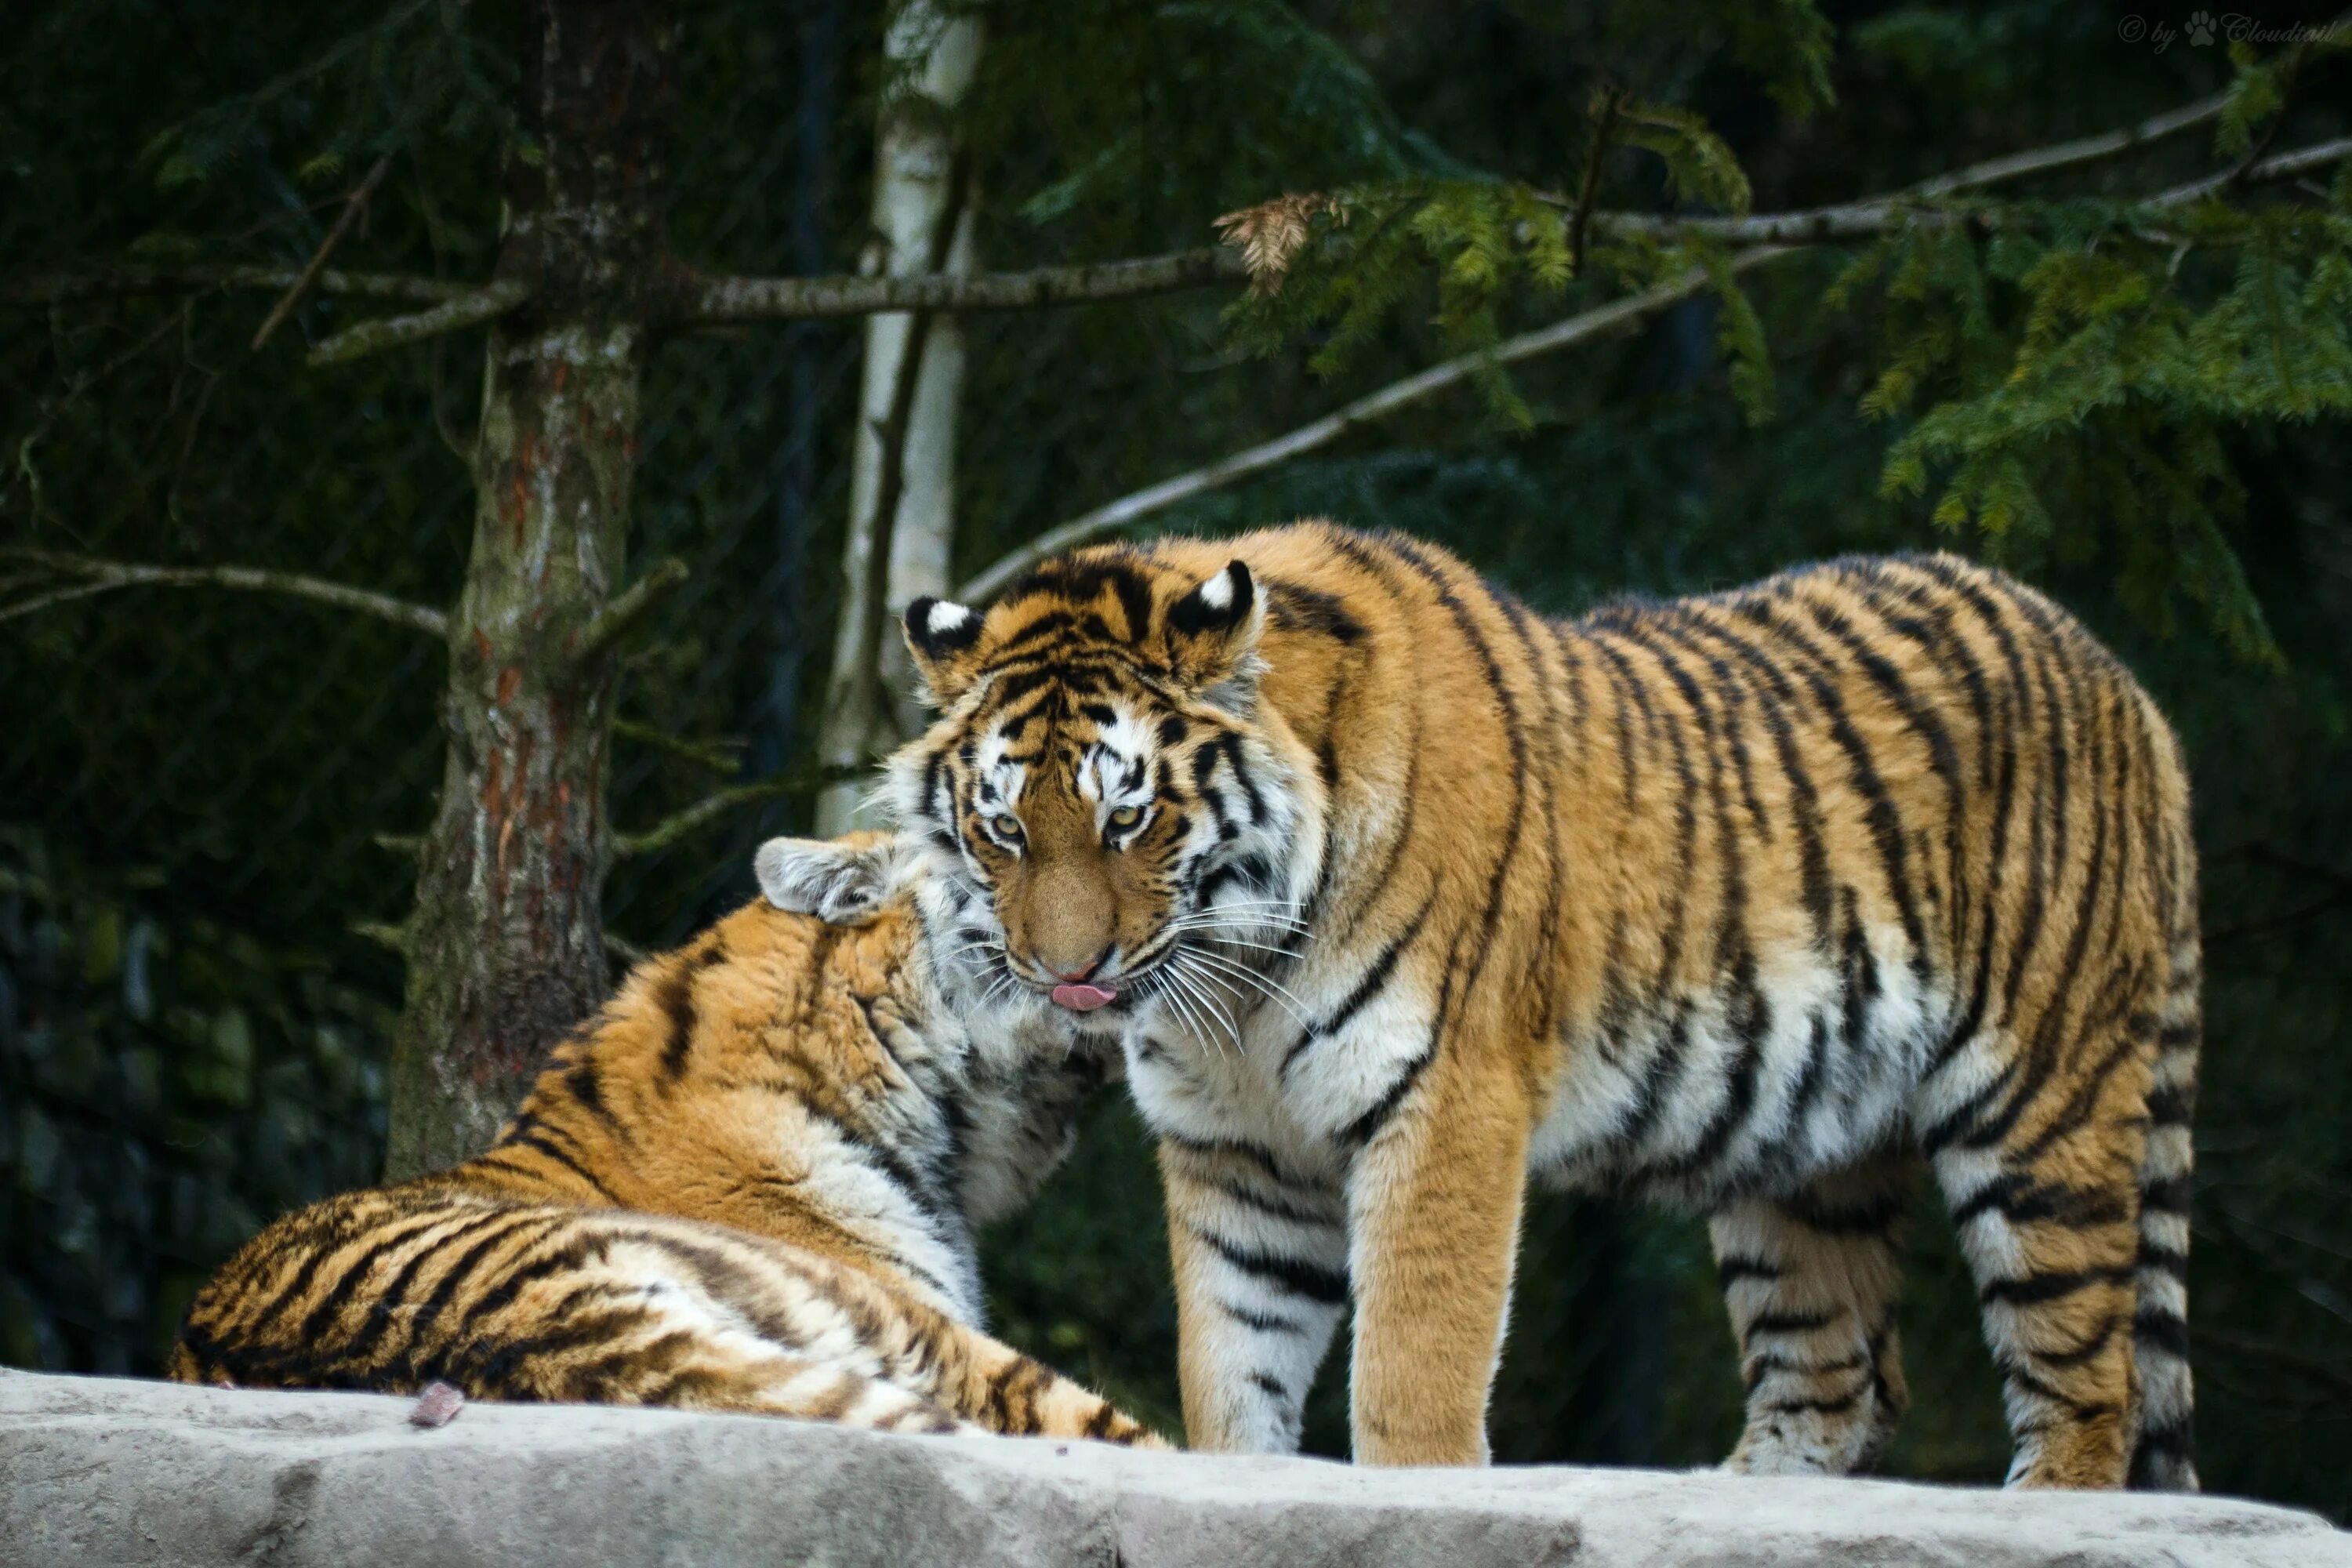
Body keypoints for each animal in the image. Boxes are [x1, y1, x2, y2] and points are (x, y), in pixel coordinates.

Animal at [889, 521, 2192, 1495]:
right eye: (1004, 828)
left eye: (1127, 819)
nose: (1065, 973)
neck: (1240, 979)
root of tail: (2121, 677)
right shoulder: (1238, 1153)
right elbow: (1232, 1364)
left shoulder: (1445, 1104)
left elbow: (1413, 1366)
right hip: (1804, 1147)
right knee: (1843, 1379)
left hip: (2042, 1108)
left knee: (2094, 1385)